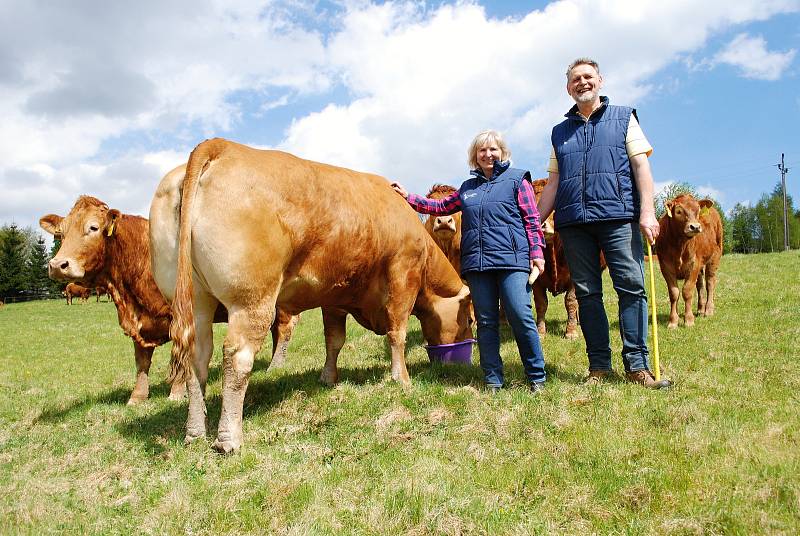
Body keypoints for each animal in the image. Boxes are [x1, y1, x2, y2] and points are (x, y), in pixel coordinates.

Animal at [150, 138, 472, 452]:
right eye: (468, 319)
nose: (461, 359)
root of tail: (222, 145)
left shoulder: (335, 296)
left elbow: (334, 340)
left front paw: (328, 378)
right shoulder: (403, 275)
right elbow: (398, 333)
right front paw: (401, 379)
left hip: (197, 303)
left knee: (197, 358)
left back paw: (194, 432)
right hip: (251, 301)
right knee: (237, 357)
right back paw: (229, 439)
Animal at [656, 193, 724, 326]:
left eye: (698, 210)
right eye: (678, 211)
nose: (695, 227)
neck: (679, 245)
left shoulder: (694, 264)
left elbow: (687, 291)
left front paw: (688, 320)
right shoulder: (665, 266)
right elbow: (674, 293)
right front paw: (673, 321)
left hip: (715, 257)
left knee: (710, 282)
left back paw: (708, 310)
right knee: (700, 285)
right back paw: (700, 310)